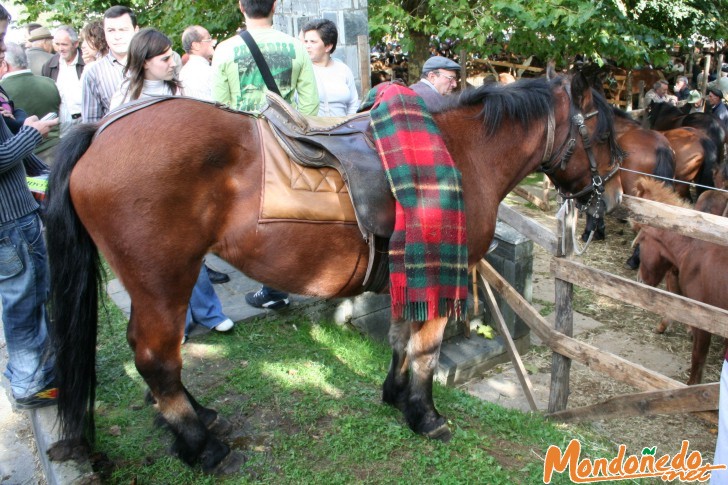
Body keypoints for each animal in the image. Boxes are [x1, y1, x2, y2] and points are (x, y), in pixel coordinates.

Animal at [45, 73, 624, 470]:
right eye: (606, 139)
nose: (613, 200)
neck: (460, 155)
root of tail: (99, 131)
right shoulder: (439, 272)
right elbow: (427, 349)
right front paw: (425, 414)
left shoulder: (409, 271)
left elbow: (400, 338)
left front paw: (395, 395)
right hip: (165, 280)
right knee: (156, 359)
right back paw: (203, 447)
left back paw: (199, 417)